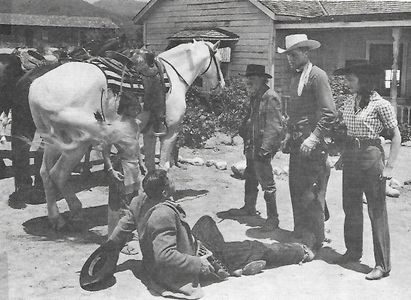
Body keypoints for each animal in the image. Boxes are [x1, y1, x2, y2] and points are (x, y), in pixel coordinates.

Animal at [29, 40, 225, 230]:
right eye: (219, 60)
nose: (221, 85)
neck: (174, 77)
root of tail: (36, 90)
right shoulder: (170, 132)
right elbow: (164, 166)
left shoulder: (149, 132)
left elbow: (151, 167)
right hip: (77, 145)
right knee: (58, 174)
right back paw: (75, 211)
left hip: (53, 141)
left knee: (45, 173)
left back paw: (55, 218)